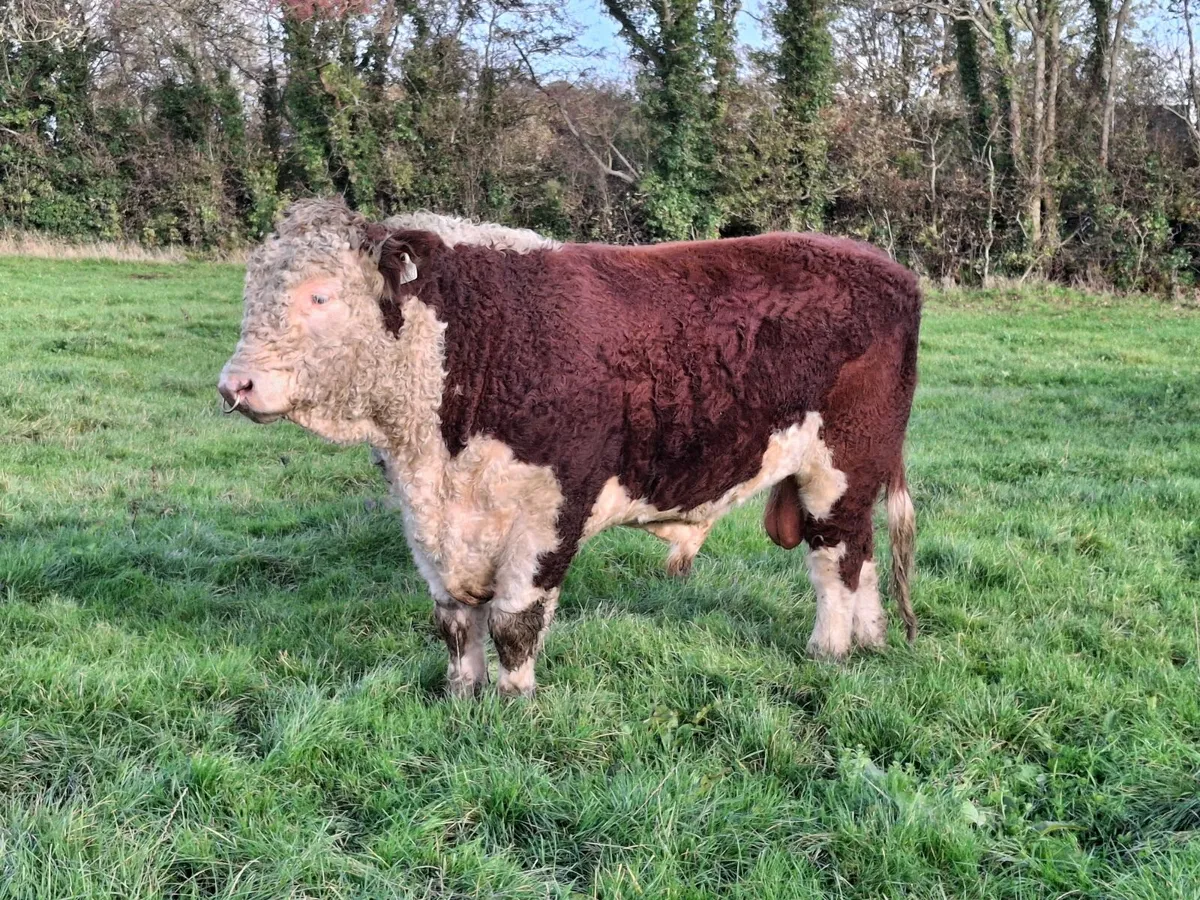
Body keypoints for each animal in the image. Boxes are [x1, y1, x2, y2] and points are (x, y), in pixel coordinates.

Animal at [218, 198, 921, 698]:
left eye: (320, 294)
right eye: (251, 294)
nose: (234, 385)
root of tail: (889, 268)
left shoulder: (553, 506)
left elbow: (515, 619)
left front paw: (513, 703)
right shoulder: (427, 519)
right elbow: (454, 620)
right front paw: (459, 694)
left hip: (840, 464)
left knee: (835, 560)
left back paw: (829, 650)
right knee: (861, 555)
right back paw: (870, 641)